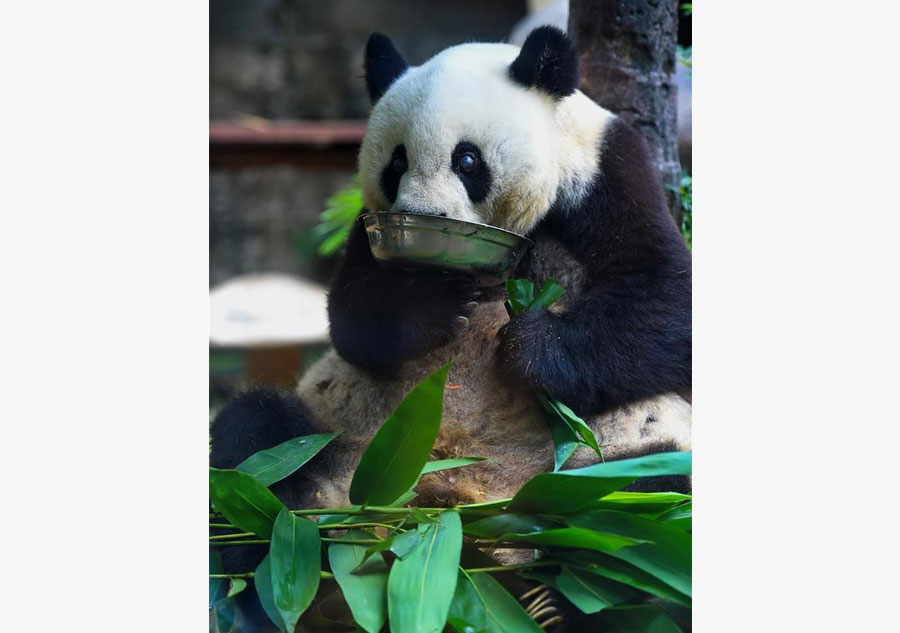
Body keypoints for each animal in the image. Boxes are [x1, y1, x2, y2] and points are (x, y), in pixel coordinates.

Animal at [210, 25, 691, 629]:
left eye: (467, 159)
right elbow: (352, 317)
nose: (426, 216)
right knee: (254, 445)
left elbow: (665, 301)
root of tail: (445, 517)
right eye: (395, 164)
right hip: (335, 440)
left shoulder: (609, 173)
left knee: (638, 507)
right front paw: (435, 304)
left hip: (598, 466)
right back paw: (273, 574)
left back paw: (560, 596)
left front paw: (530, 351)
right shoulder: (370, 224)